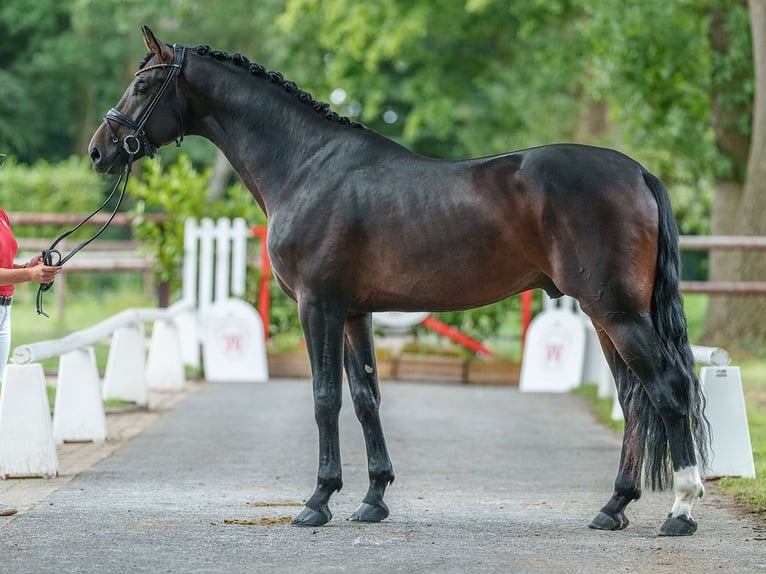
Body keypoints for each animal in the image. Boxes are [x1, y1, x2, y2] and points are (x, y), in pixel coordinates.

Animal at [87, 27, 712, 536]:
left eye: (142, 85)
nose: (99, 150)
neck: (305, 165)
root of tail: (637, 171)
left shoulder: (319, 306)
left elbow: (325, 397)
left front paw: (318, 500)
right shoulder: (354, 311)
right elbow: (366, 397)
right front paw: (373, 498)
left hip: (618, 312)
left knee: (668, 388)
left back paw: (681, 509)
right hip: (606, 315)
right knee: (634, 400)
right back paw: (614, 507)